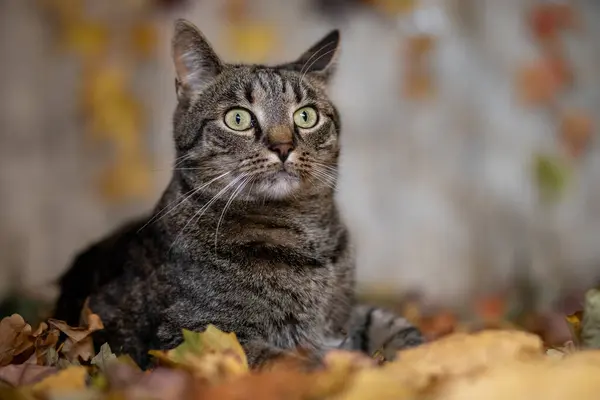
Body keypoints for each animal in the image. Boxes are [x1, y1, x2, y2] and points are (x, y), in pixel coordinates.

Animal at [54, 18, 424, 368]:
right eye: (238, 119)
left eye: (306, 116)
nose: (283, 147)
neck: (308, 235)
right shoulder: (197, 335)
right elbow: (295, 365)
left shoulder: (345, 318)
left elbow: (399, 328)